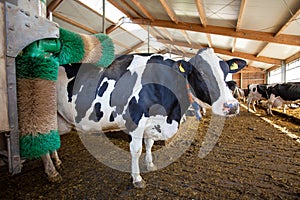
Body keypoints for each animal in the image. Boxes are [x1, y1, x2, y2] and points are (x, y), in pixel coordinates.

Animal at [47, 48, 243, 188]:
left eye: (227, 73)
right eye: (202, 73)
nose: (232, 106)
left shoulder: (153, 122)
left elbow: (149, 144)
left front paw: (150, 165)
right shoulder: (136, 121)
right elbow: (136, 150)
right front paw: (137, 179)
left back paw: (57, 163)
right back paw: (52, 172)